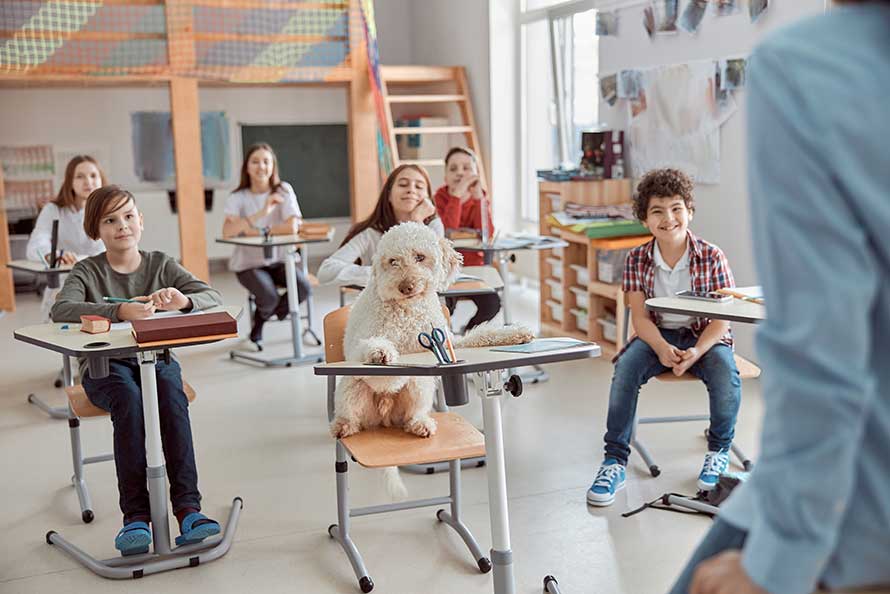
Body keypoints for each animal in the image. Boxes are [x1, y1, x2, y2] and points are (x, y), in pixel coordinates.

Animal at [330, 221, 532, 490]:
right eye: (393, 261)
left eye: (420, 257)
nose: (405, 286)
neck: (408, 308)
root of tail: (384, 417)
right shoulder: (363, 349)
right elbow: (378, 356)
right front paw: (381, 353)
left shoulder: (449, 341)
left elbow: (482, 335)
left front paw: (516, 333)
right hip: (351, 388)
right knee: (349, 414)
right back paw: (343, 425)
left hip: (421, 388)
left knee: (412, 413)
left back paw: (420, 424)